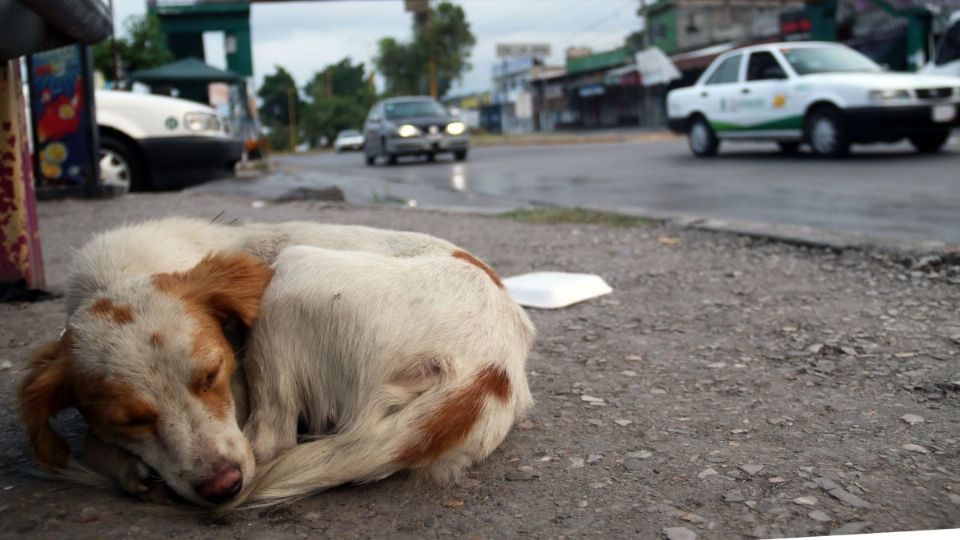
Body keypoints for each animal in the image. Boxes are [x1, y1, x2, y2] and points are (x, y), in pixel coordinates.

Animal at [16, 218, 532, 506]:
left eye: (213, 373)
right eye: (129, 419)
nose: (222, 488)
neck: (118, 275)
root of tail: (490, 367)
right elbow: (92, 441)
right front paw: (127, 467)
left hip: (289, 275)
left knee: (271, 440)